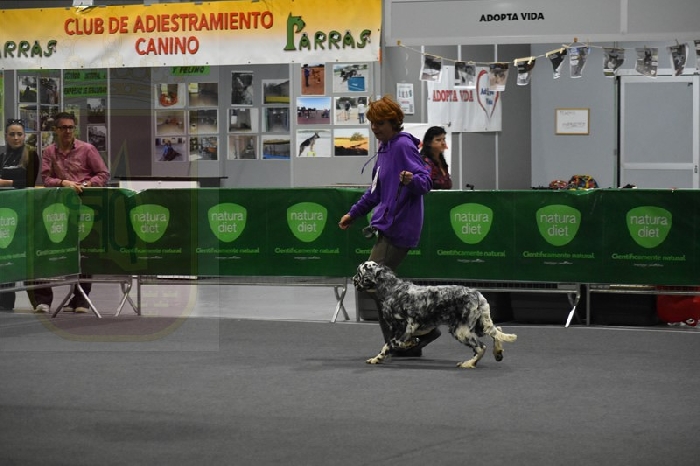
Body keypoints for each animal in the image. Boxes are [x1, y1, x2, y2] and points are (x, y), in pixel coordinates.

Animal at [353, 261, 517, 369]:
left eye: (359, 273)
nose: (353, 280)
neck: (392, 289)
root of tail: (478, 295)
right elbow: (392, 344)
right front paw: (378, 358)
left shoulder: (406, 326)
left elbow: (391, 344)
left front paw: (378, 358)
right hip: (478, 326)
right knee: (497, 332)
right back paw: (498, 353)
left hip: (461, 331)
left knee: (481, 347)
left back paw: (468, 363)